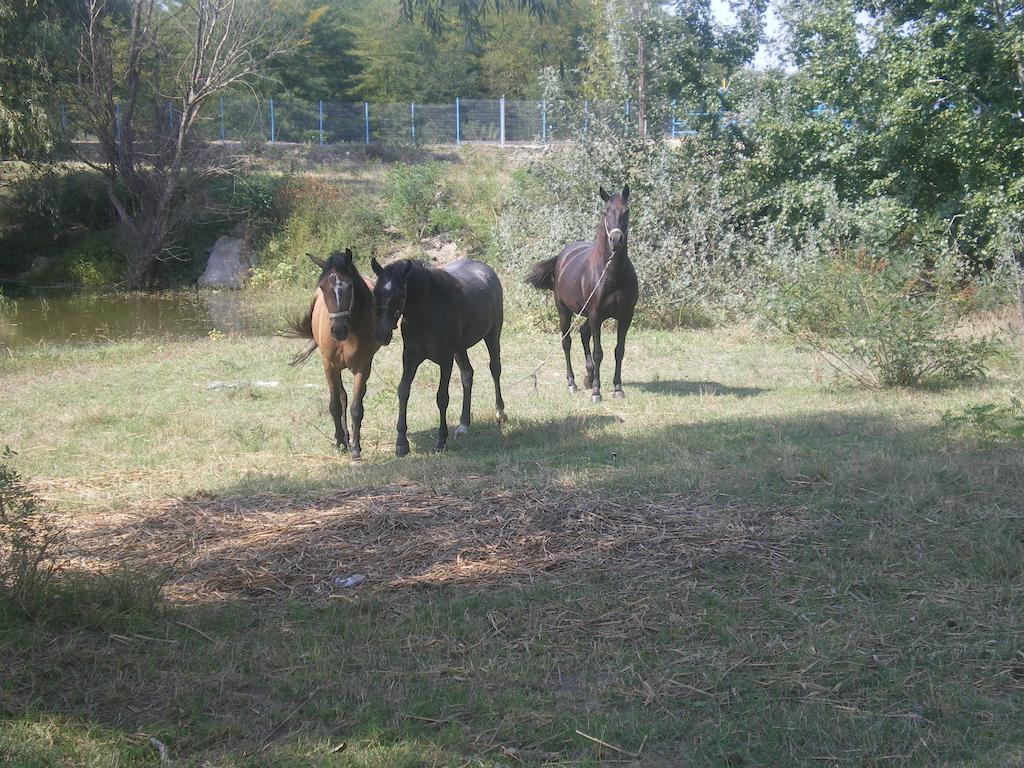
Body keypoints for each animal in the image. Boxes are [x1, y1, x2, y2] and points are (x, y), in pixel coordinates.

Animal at [286, 249, 378, 460]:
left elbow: (356, 407)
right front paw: (339, 443)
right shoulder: (329, 366)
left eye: (349, 285)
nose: (338, 330)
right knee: (342, 397)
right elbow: (335, 404)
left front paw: (355, 448)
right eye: (322, 287)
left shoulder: (362, 366)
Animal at [372, 259, 507, 456]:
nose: (382, 334)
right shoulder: (410, 358)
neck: (426, 314)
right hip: (460, 349)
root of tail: (485, 269)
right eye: (375, 293)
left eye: (400, 295)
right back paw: (463, 424)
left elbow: (442, 397)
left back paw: (500, 413)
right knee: (467, 375)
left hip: (492, 335)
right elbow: (403, 391)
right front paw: (401, 444)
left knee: (495, 369)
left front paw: (441, 441)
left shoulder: (445, 360)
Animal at [524, 185, 634, 403]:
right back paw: (572, 383)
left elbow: (619, 350)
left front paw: (617, 388)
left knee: (583, 333)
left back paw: (588, 377)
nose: (616, 240)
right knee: (567, 343)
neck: (612, 274)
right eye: (604, 212)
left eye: (626, 212)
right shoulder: (596, 315)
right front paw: (597, 392)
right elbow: (599, 352)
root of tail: (562, 256)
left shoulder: (626, 316)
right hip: (565, 311)